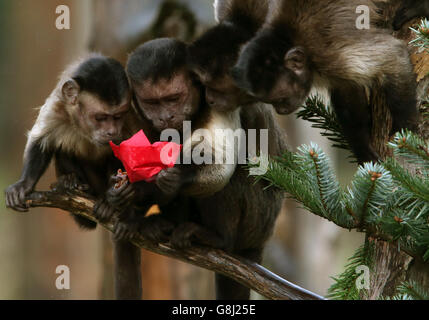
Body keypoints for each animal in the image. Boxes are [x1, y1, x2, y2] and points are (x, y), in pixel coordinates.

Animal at [4, 54, 142, 300]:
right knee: (62, 145)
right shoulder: (57, 107)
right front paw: (24, 184)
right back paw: (70, 183)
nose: (111, 131)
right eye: (101, 117)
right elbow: (41, 140)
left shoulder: (128, 121)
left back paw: (114, 204)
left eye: (117, 117)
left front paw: (123, 199)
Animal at [99, 38, 288, 300]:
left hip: (258, 220)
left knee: (233, 174)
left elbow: (221, 162)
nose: (166, 117)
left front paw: (176, 178)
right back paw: (157, 223)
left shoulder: (220, 95)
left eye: (173, 98)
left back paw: (218, 238)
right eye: (152, 103)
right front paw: (123, 194)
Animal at [231, 0, 418, 164]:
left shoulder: (327, 52)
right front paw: (362, 148)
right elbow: (347, 91)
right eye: (270, 102)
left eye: (281, 99)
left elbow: (394, 54)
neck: (293, 38)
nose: (281, 110)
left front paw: (406, 132)